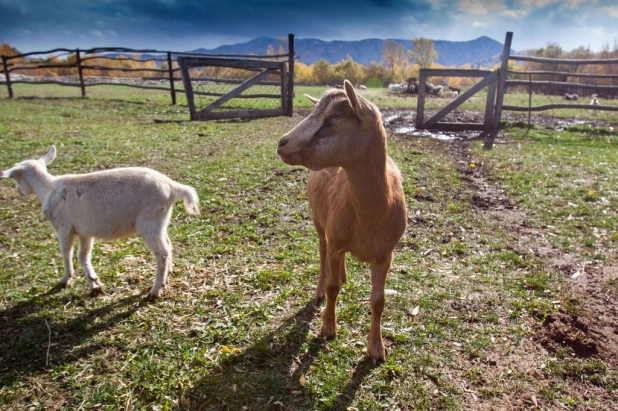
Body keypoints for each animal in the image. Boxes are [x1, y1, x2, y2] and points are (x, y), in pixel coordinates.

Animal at [0, 146, 197, 298]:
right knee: (168, 246)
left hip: (149, 222)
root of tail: (172, 187)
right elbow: (83, 255)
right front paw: (94, 284)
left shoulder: (63, 227)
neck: (47, 188)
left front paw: (65, 280)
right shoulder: (85, 232)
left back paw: (155, 290)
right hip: (160, 221)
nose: (19, 192)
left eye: (17, 177)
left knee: (162, 253)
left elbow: (66, 252)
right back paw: (167, 276)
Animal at [276, 79, 406, 362]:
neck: (370, 219)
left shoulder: (386, 254)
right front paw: (328, 328)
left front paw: (376, 349)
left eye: (335, 116)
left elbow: (378, 301)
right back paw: (319, 290)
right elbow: (333, 287)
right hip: (319, 221)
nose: (282, 143)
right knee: (322, 250)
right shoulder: (336, 241)